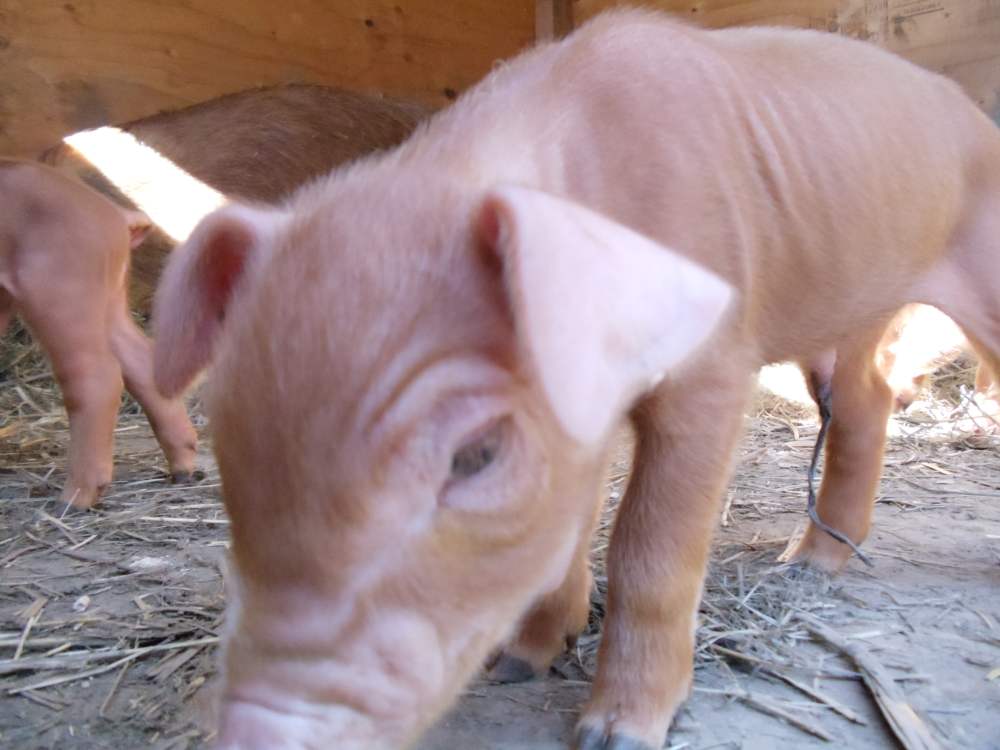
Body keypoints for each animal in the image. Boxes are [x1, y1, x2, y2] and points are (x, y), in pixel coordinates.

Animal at [0, 159, 197, 508]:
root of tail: (114, 214)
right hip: (109, 299)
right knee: (141, 362)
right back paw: (183, 472)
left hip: (61, 291)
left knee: (97, 377)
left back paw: (74, 500)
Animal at [152, 10, 1000, 750]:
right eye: (231, 447)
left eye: (476, 455)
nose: (253, 731)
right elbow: (572, 527)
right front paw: (517, 667)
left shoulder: (714, 366)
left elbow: (649, 550)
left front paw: (612, 735)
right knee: (865, 402)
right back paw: (807, 566)